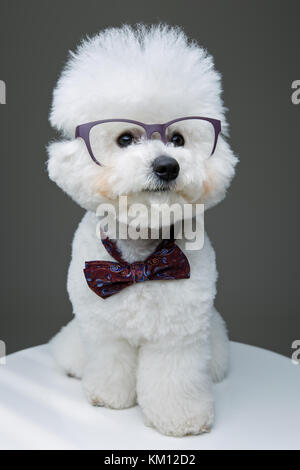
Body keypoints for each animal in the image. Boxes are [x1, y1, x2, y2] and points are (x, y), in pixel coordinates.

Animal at [47, 24, 237, 436]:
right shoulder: (103, 328)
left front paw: (181, 418)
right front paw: (108, 396)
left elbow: (174, 377)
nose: (167, 166)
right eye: (125, 139)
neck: (140, 256)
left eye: (178, 139)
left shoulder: (179, 332)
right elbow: (110, 361)